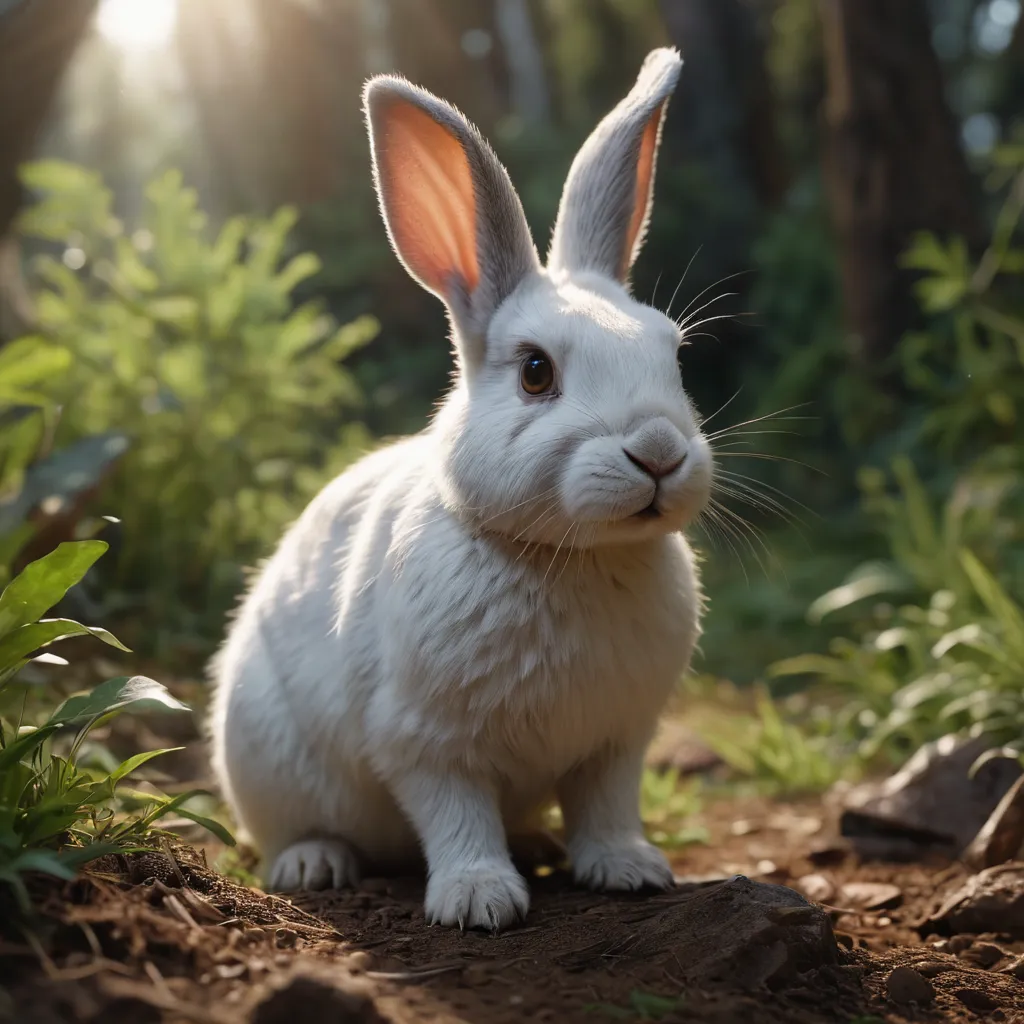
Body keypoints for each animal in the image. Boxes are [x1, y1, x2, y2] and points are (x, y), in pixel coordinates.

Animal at [209, 45, 714, 932]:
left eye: (672, 353)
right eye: (536, 372)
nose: (657, 451)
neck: (568, 557)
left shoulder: (617, 741)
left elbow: (607, 808)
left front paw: (629, 870)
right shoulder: (426, 741)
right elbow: (457, 816)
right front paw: (480, 901)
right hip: (265, 757)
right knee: (296, 831)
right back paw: (315, 864)